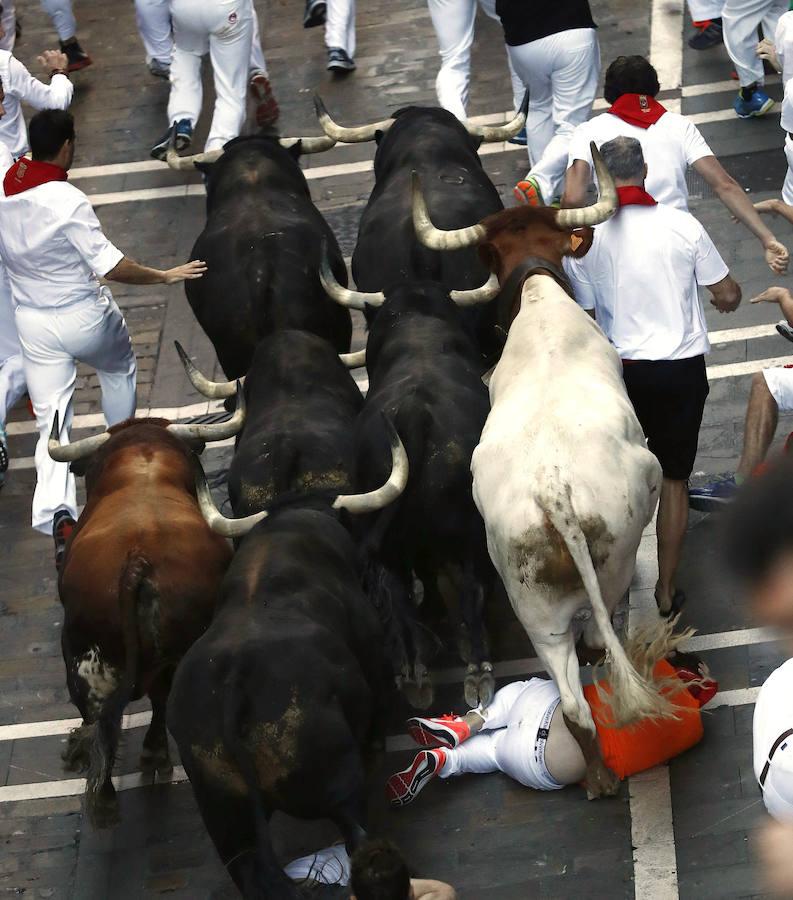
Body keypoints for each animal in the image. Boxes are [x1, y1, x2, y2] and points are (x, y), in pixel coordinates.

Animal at [48, 398, 243, 828]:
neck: (142, 455)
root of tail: (138, 560)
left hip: (85, 655)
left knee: (102, 718)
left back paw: (106, 794)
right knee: (156, 700)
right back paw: (149, 760)